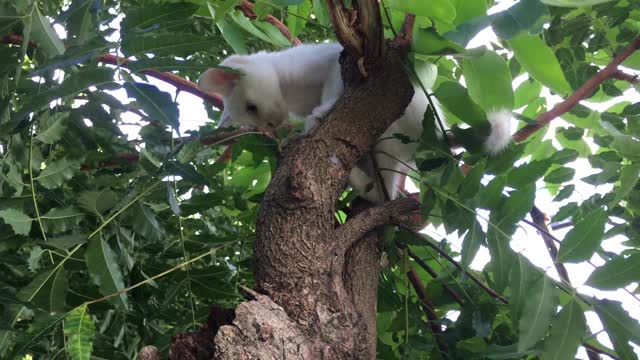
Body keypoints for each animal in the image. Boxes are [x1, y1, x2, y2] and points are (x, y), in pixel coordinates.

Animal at [198, 42, 512, 202]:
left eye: (252, 107)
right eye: (254, 117)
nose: (273, 124)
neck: (289, 90)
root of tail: (436, 133)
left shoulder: (334, 66)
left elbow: (332, 93)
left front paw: (318, 116)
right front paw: (292, 136)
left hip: (388, 139)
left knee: (383, 194)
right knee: (378, 192)